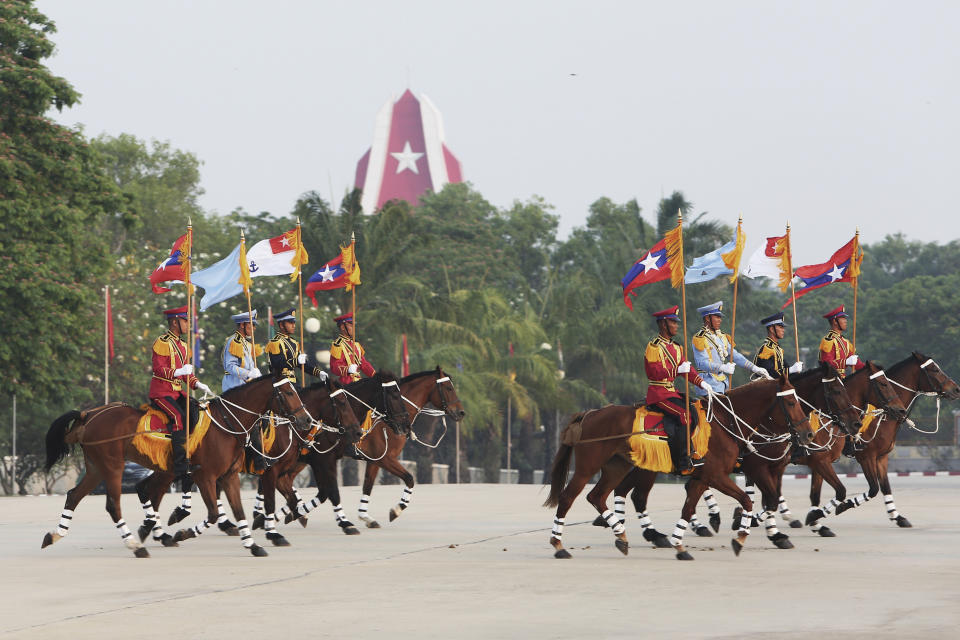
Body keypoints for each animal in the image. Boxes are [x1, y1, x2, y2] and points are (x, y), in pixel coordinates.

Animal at [42, 376, 312, 556]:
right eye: (288, 393)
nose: (305, 421)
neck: (227, 423)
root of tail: (89, 415)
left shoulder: (229, 477)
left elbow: (239, 511)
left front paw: (253, 545)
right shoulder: (206, 477)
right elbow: (214, 514)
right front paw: (184, 532)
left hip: (98, 468)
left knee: (74, 495)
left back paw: (55, 535)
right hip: (113, 467)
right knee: (114, 504)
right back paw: (136, 544)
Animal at [544, 376, 812, 560]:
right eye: (790, 402)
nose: (808, 433)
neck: (727, 423)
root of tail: (590, 413)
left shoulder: (704, 477)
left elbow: (688, 508)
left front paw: (680, 544)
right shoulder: (720, 474)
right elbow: (750, 500)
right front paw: (741, 536)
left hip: (618, 466)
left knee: (599, 496)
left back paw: (621, 535)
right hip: (589, 467)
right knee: (570, 497)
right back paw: (559, 545)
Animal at [828, 352, 956, 528]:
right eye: (934, 369)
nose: (956, 389)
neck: (884, 415)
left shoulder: (882, 457)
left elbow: (885, 486)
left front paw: (897, 516)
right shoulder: (866, 457)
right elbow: (873, 489)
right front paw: (842, 505)